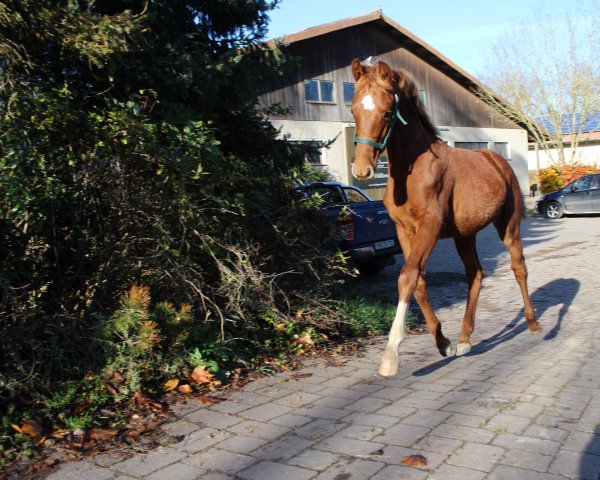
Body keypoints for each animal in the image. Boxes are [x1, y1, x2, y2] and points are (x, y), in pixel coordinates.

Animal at [352, 58, 544, 376]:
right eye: (354, 110)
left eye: (387, 112)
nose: (362, 170)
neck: (413, 171)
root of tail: (497, 160)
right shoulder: (404, 231)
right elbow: (417, 281)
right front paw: (443, 343)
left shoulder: (429, 227)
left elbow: (407, 277)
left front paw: (391, 356)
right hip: (465, 234)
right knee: (475, 273)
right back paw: (465, 338)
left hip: (509, 225)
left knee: (519, 268)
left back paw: (533, 323)